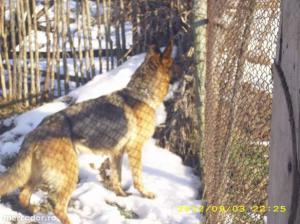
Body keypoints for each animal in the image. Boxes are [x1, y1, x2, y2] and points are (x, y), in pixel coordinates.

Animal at [0, 41, 173, 223]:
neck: (142, 93)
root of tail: (35, 133)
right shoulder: (135, 149)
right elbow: (138, 177)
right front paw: (144, 193)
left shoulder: (117, 153)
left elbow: (116, 177)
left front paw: (121, 194)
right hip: (69, 174)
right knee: (57, 207)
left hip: (39, 174)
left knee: (23, 195)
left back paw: (34, 210)